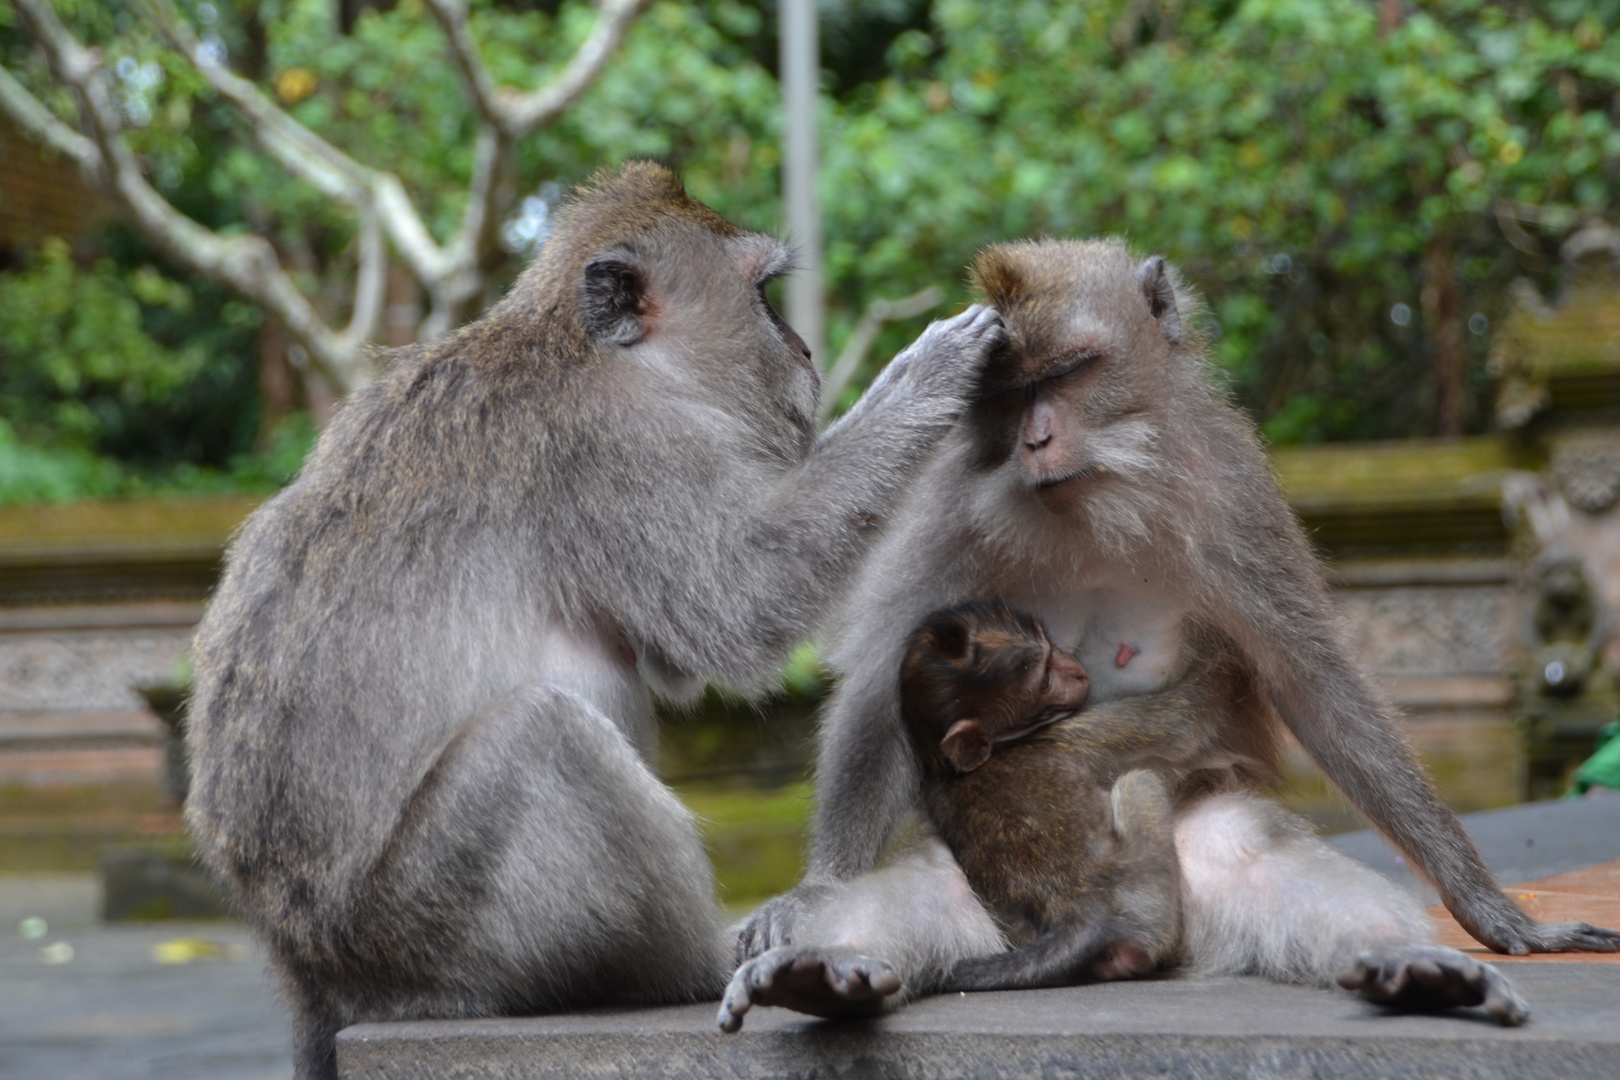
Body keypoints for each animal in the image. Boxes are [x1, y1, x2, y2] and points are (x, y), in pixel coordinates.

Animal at [900, 605, 1205, 990]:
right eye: (1044, 681)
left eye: (1048, 643)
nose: (1076, 670)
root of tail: (1083, 912)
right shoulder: (1068, 732)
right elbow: (1182, 721)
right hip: (1147, 880)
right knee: (1139, 782)